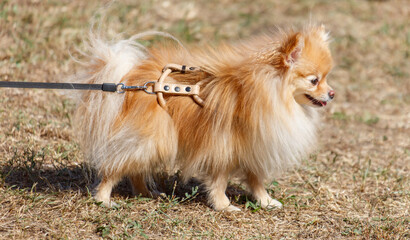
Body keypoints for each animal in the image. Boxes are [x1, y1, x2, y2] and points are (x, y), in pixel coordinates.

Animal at [73, 24, 334, 211]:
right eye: (314, 80)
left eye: (327, 78)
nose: (332, 93)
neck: (268, 93)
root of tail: (133, 79)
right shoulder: (223, 146)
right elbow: (219, 182)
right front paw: (224, 206)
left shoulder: (252, 147)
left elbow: (256, 181)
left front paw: (266, 202)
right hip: (153, 138)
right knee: (116, 166)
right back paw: (103, 199)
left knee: (134, 168)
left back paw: (146, 193)